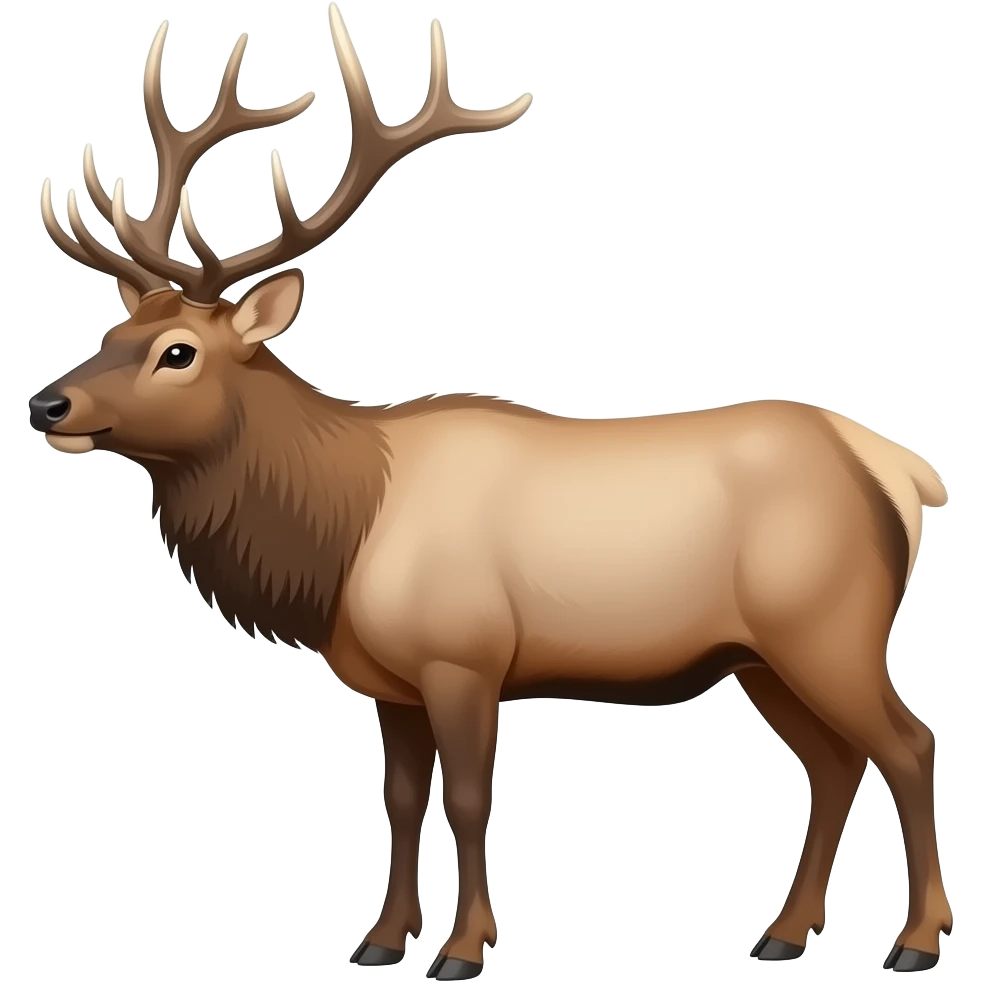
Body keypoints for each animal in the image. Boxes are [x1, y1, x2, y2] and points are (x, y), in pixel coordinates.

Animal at [28, 5, 952, 980]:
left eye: (179, 353)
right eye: (110, 332)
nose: (46, 403)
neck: (339, 541)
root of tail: (901, 470)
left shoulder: (464, 658)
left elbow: (470, 799)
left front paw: (464, 947)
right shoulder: (390, 683)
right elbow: (400, 799)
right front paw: (380, 940)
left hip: (829, 629)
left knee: (907, 743)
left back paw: (915, 941)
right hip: (762, 656)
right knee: (835, 762)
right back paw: (783, 932)